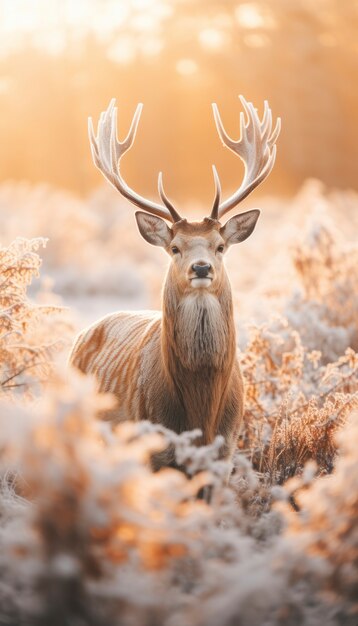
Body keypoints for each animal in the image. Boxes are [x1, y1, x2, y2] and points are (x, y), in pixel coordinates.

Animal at [70, 94, 282, 472]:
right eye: (174, 247)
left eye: (220, 245)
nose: (201, 267)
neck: (201, 413)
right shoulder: (152, 449)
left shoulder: (226, 450)